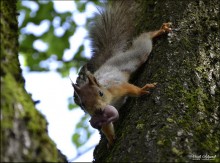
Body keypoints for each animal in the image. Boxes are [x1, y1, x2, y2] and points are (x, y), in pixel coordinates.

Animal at [71, 0, 171, 148]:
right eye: (83, 104)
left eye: (100, 93)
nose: (98, 110)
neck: (109, 98)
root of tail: (111, 60)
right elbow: (106, 126)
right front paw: (111, 139)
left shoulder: (117, 87)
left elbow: (130, 88)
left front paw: (142, 90)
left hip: (135, 56)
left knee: (143, 43)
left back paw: (158, 31)